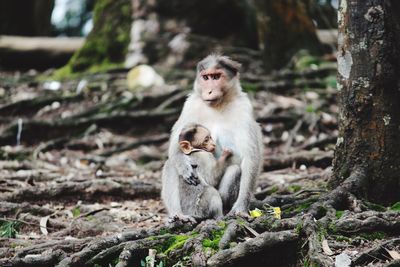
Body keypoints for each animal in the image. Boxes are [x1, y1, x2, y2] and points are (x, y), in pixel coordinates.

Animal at [166, 54, 262, 218]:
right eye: (206, 77)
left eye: (216, 76)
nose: (209, 91)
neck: (219, 105)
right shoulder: (190, 104)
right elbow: (175, 145)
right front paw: (184, 167)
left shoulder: (244, 107)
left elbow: (250, 157)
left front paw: (241, 207)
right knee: (170, 164)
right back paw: (179, 215)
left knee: (235, 170)